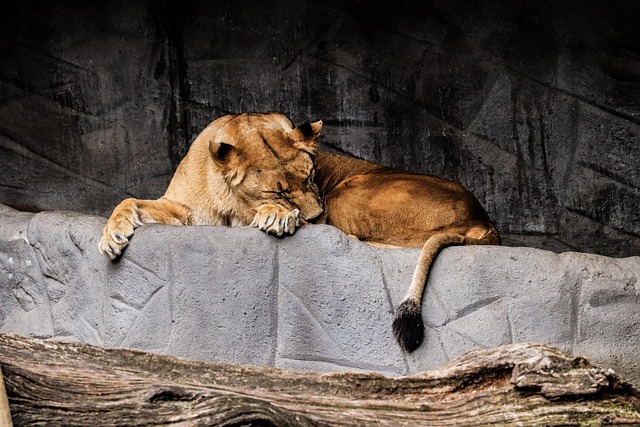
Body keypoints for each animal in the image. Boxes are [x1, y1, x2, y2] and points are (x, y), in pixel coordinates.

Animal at [99, 112, 500, 352]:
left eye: (310, 177)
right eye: (279, 190)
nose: (315, 212)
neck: (225, 199)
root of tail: (486, 221)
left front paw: (276, 217)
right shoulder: (182, 209)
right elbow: (129, 200)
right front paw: (112, 236)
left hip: (348, 194)